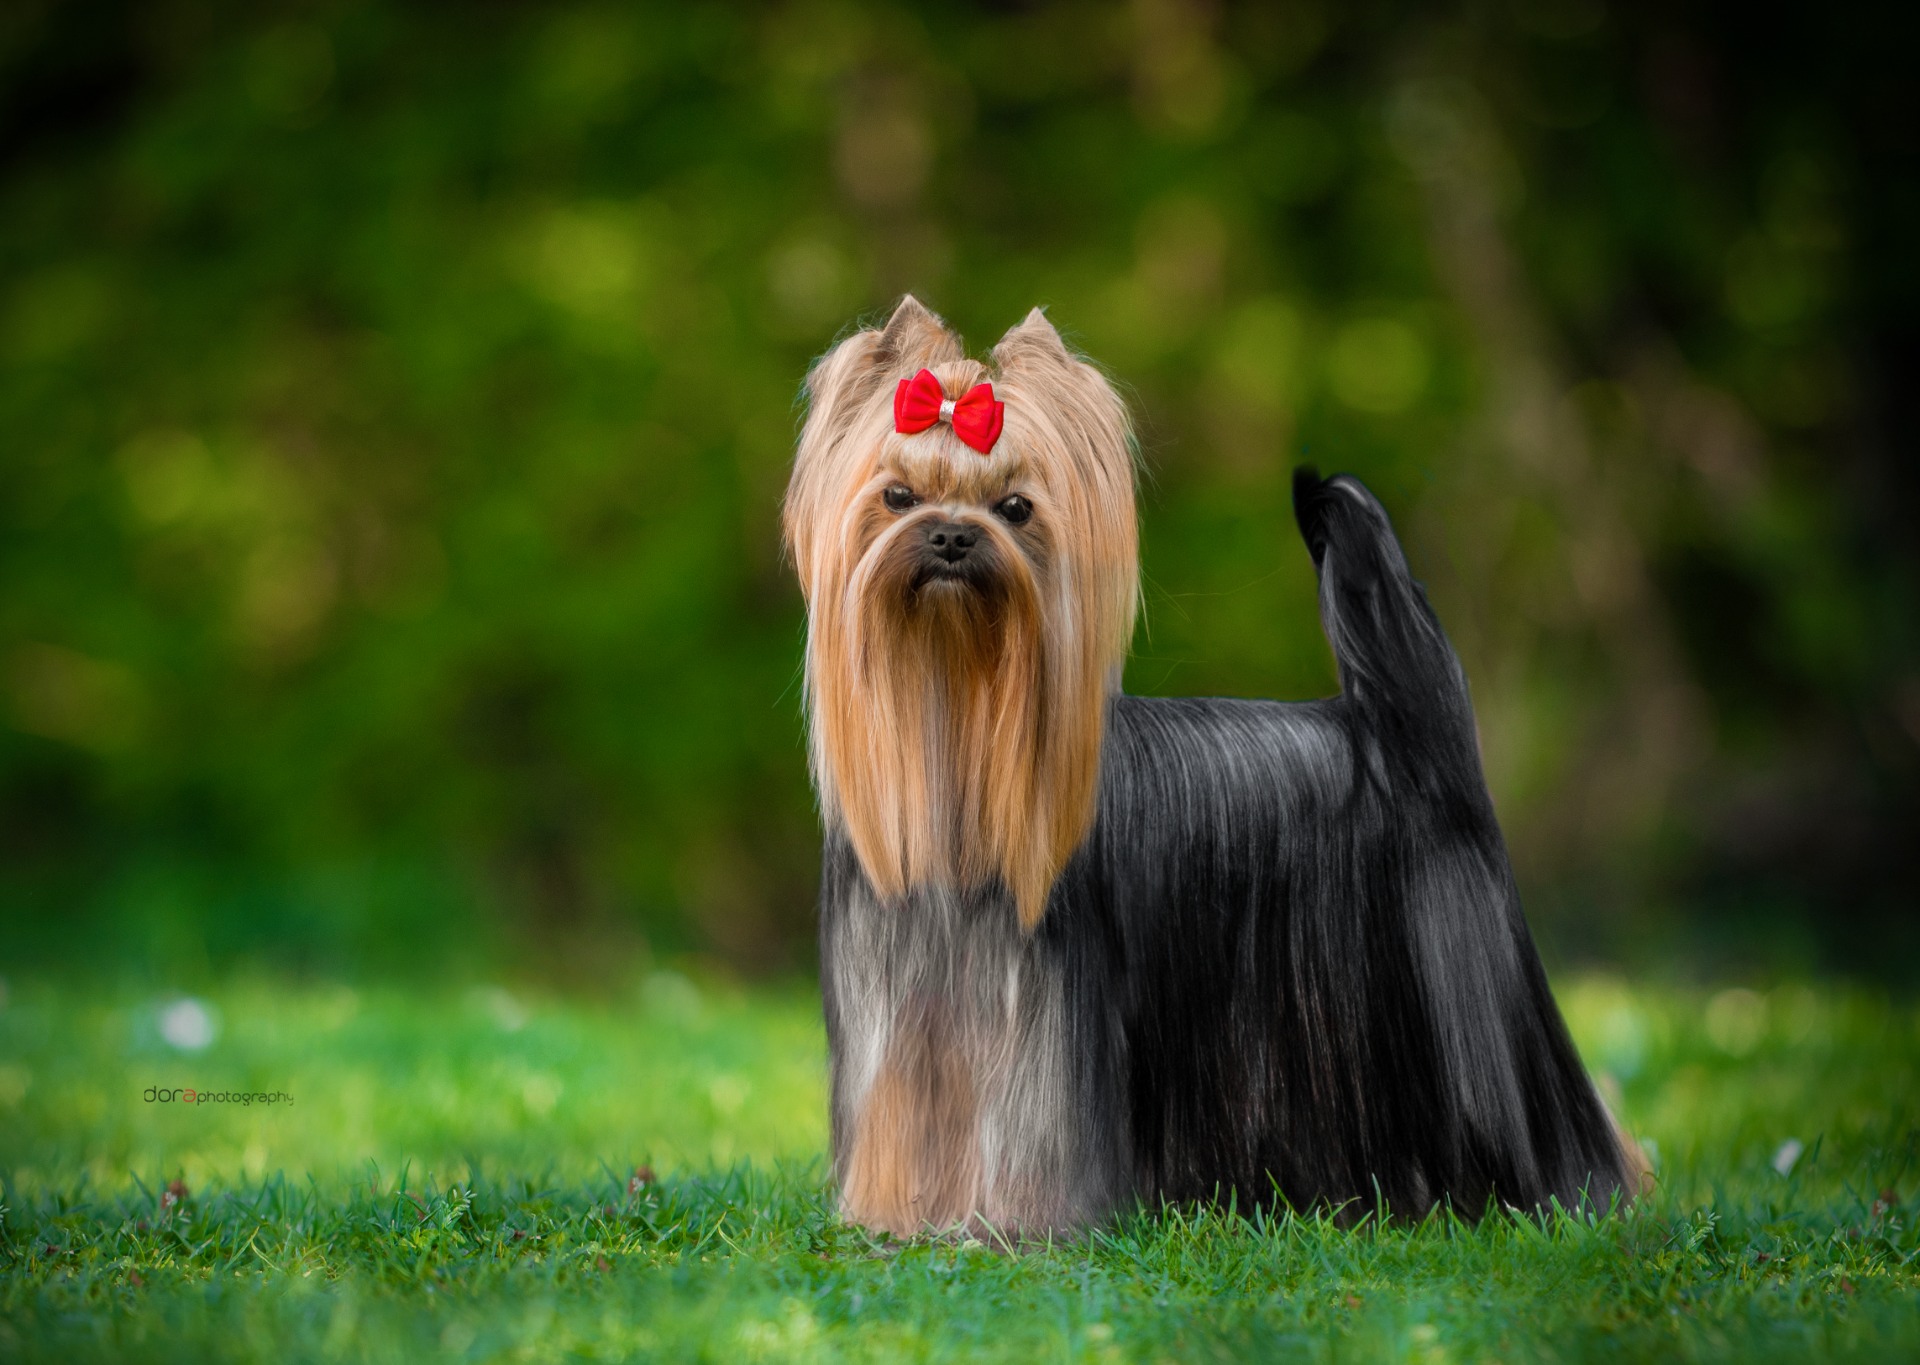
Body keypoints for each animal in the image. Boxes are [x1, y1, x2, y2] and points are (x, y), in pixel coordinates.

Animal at [783, 295, 1645, 1239]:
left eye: (1015, 508)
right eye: (897, 496)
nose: (949, 534)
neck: (953, 716)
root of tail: (1401, 732)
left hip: (1468, 988)